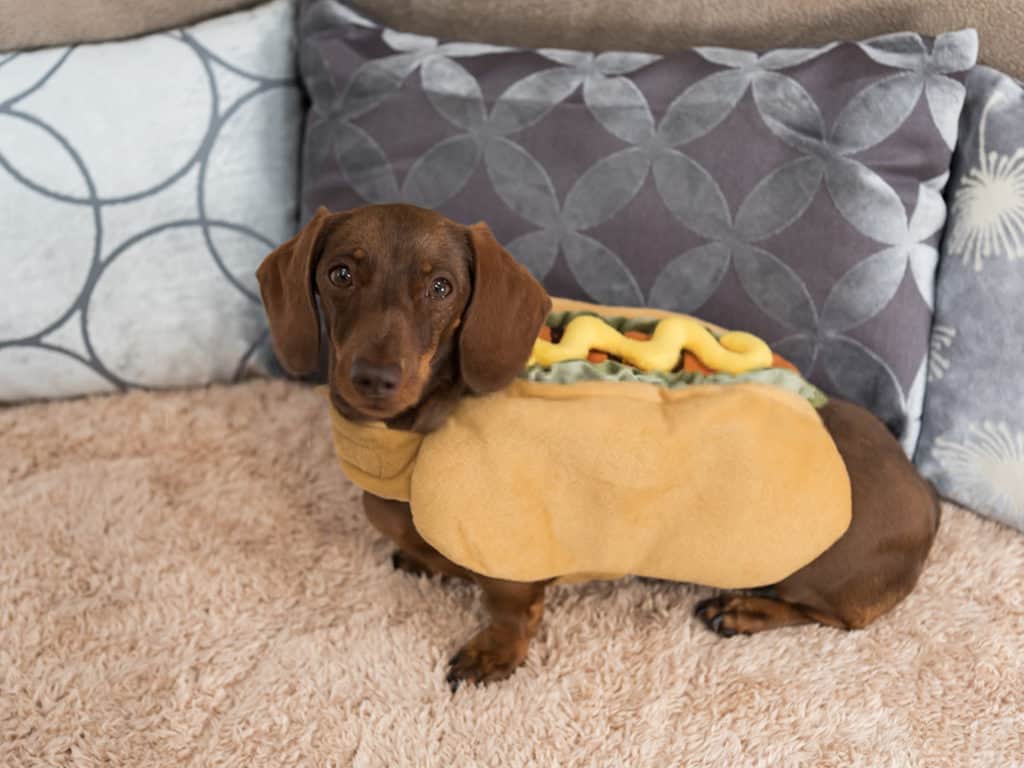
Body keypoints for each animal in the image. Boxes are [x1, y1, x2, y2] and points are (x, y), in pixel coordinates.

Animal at [258, 202, 942, 692]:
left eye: (443, 287)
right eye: (340, 273)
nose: (373, 378)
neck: (403, 449)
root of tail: (927, 502)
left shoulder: (515, 563)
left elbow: (509, 608)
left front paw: (493, 653)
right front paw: (426, 560)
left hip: (820, 574)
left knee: (836, 618)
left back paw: (748, 611)